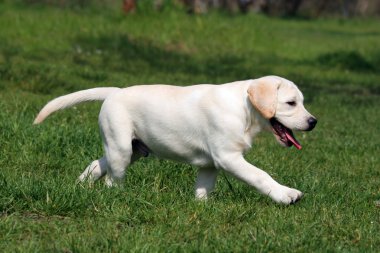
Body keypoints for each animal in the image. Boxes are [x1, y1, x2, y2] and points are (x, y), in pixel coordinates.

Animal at [35, 76, 318, 205]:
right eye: (291, 103)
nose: (313, 121)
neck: (244, 108)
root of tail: (115, 92)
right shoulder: (228, 157)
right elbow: (261, 175)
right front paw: (286, 194)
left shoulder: (210, 164)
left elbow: (203, 188)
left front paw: (202, 206)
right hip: (121, 148)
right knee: (112, 179)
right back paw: (117, 197)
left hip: (131, 149)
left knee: (97, 164)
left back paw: (80, 186)